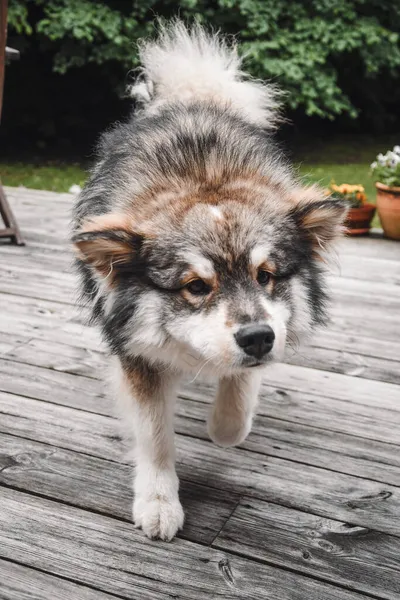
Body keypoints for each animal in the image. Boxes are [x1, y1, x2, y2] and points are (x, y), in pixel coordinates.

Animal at [72, 21, 346, 540]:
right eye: (196, 286)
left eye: (266, 276)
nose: (257, 339)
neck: (204, 177)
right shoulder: (135, 353)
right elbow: (155, 434)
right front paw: (159, 500)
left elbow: (235, 405)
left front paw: (223, 425)